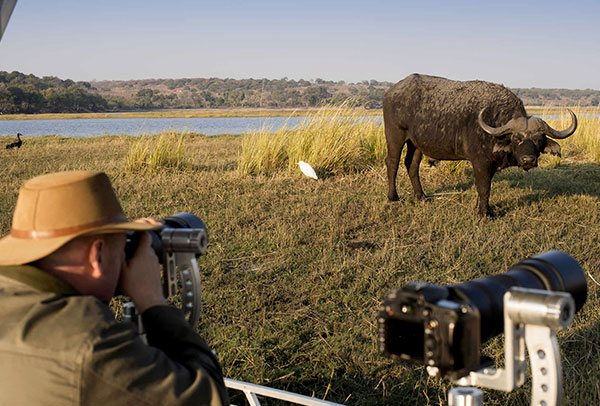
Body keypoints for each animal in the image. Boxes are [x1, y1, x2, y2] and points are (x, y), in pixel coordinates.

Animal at [384, 74, 576, 217]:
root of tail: (391, 92)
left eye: (538, 139)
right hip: (395, 135)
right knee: (392, 163)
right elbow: (484, 188)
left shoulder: (491, 164)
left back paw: (421, 196)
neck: (494, 122)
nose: (528, 160)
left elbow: (485, 187)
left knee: (411, 165)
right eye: (516, 138)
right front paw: (485, 213)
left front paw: (482, 208)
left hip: (416, 144)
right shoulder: (480, 162)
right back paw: (393, 197)